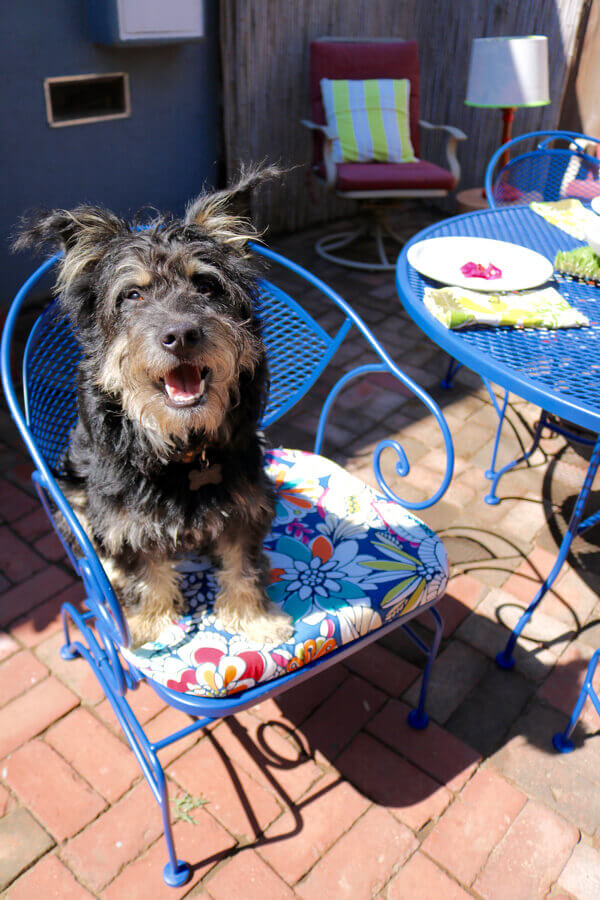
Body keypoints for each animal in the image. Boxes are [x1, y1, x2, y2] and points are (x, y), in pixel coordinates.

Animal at [15, 169, 294, 648]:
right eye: (132, 295)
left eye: (206, 285)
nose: (180, 335)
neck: (184, 447)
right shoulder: (121, 511)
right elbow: (142, 564)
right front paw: (150, 619)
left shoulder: (246, 497)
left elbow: (242, 562)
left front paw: (253, 617)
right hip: (70, 486)